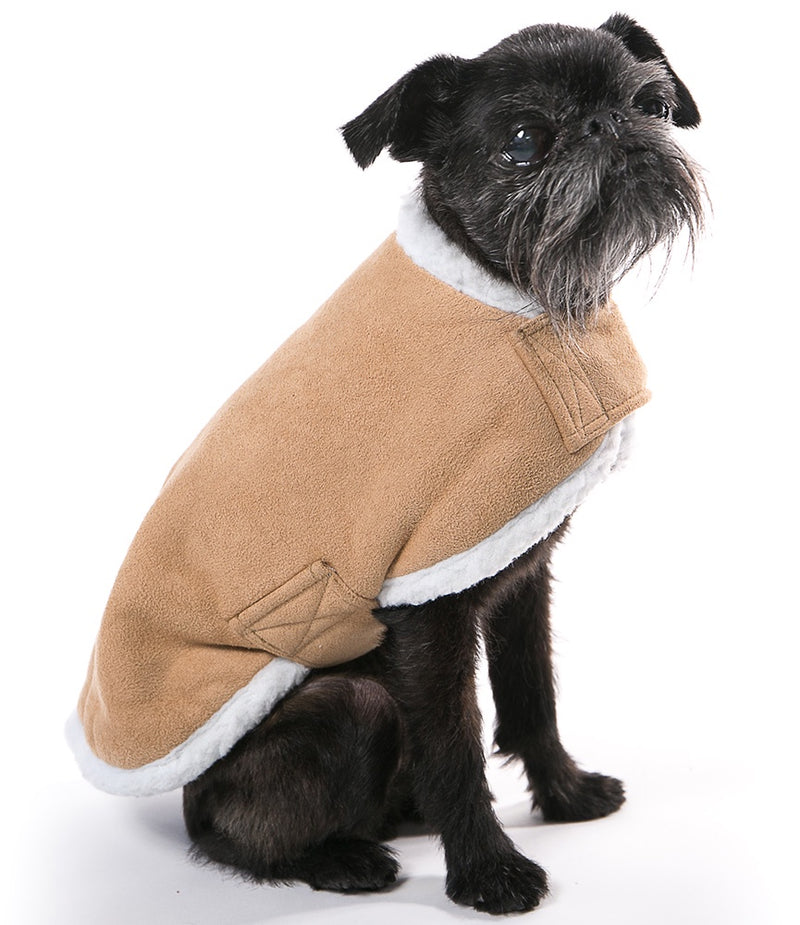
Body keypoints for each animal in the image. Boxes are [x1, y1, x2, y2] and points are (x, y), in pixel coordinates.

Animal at [69, 14, 704, 915]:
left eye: (649, 104)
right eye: (522, 141)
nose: (606, 125)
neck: (527, 300)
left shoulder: (521, 573)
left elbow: (533, 694)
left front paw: (565, 794)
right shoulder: (426, 604)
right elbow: (456, 744)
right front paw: (488, 870)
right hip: (349, 701)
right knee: (236, 835)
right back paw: (341, 857)